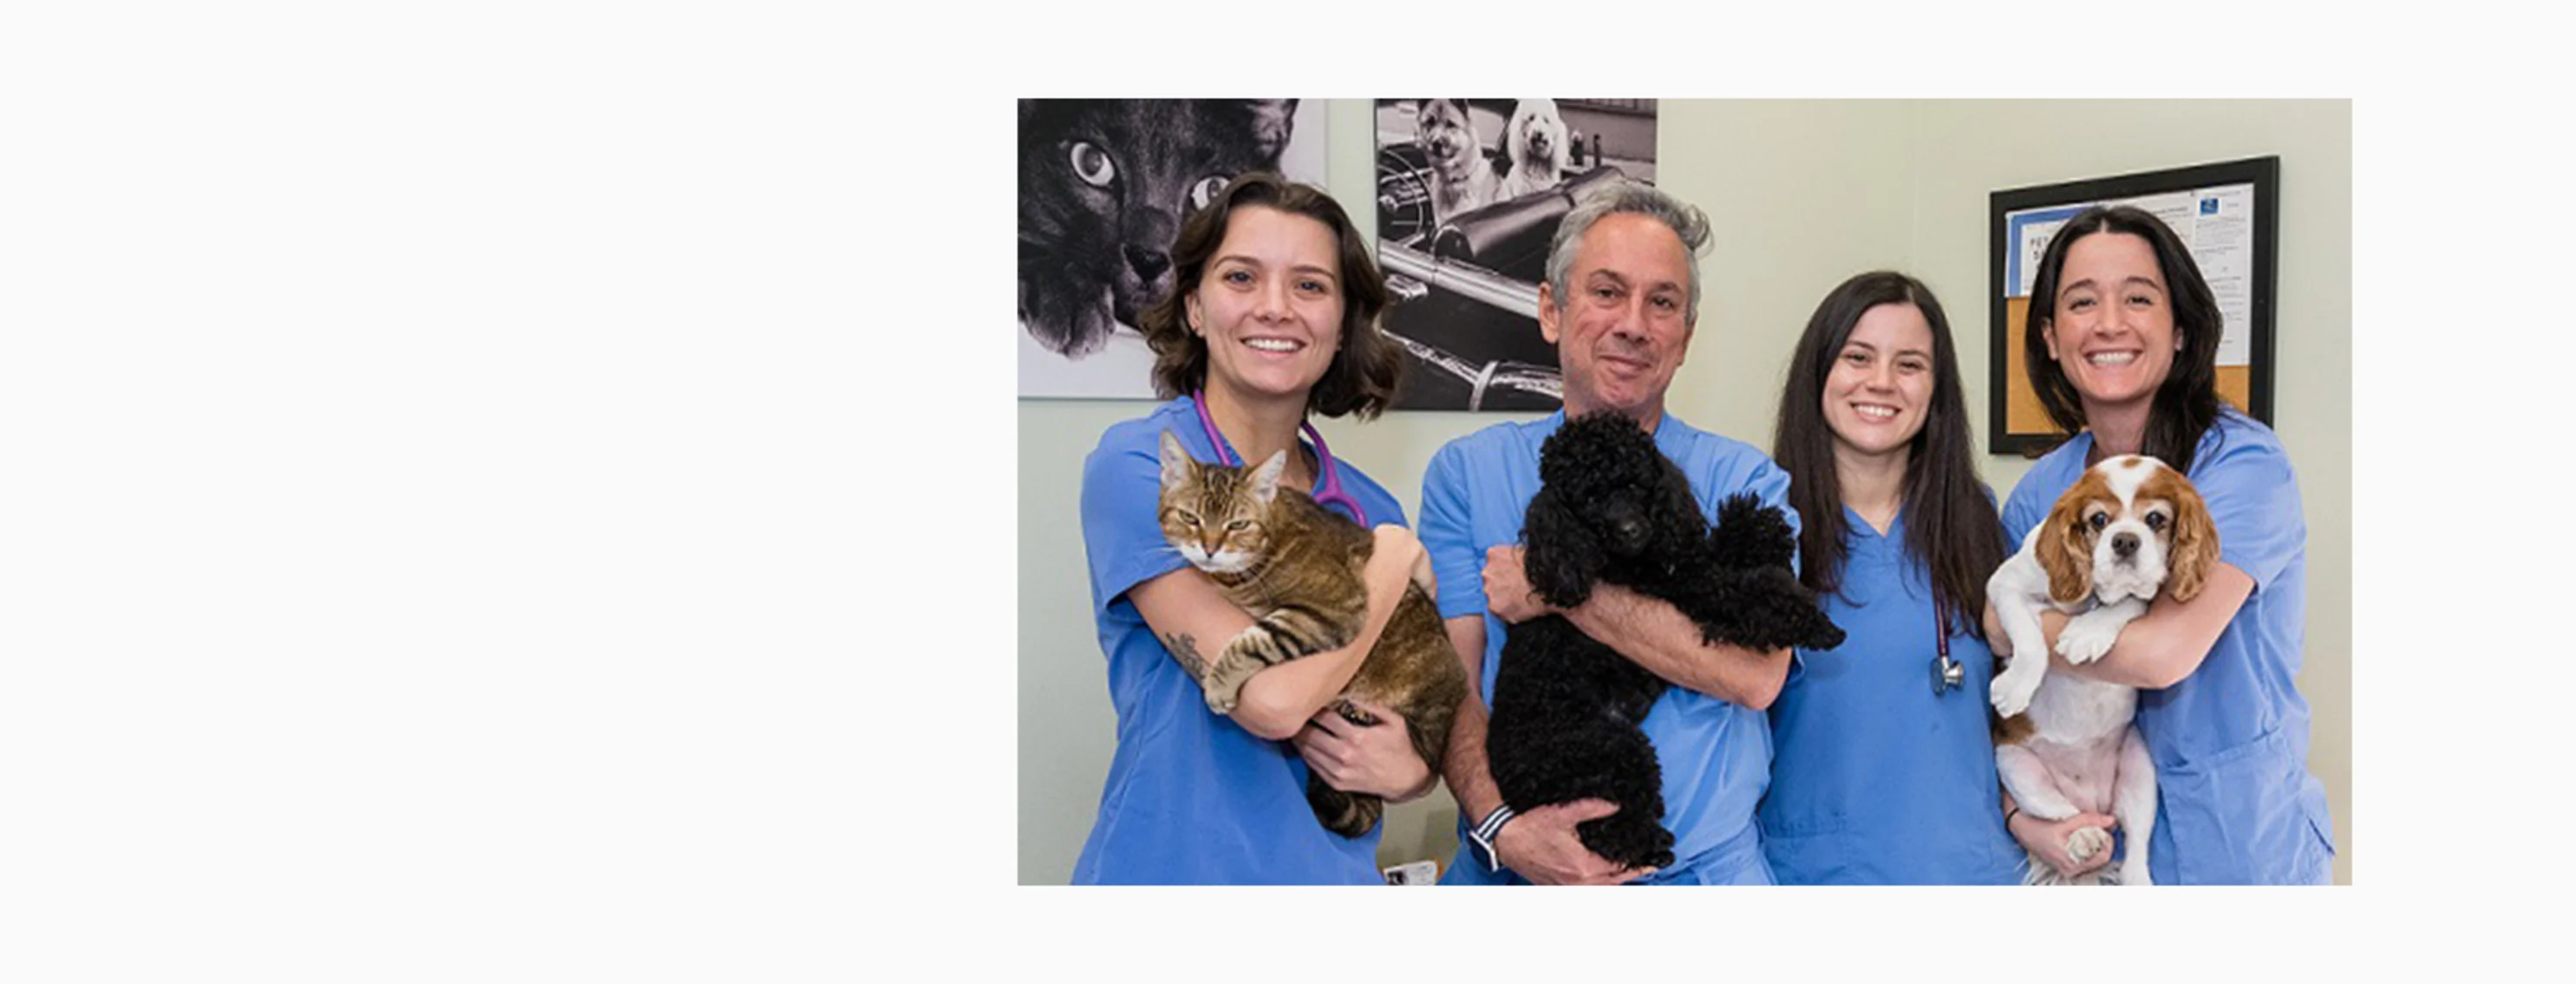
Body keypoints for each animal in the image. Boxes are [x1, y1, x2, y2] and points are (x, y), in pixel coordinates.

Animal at [1154, 430, 1462, 839]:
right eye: (1191, 518)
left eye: (1238, 525)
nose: (1209, 548)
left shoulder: (1332, 609)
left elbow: (1254, 641)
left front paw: (1218, 685)